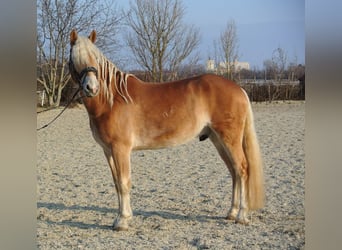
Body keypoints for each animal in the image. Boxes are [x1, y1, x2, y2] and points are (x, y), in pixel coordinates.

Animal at [67, 28, 264, 230]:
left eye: (95, 58)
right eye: (74, 57)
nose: (91, 88)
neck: (112, 100)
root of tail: (239, 89)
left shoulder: (120, 149)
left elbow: (123, 182)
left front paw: (122, 220)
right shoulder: (108, 151)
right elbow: (116, 183)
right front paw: (122, 218)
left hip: (229, 139)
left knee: (242, 169)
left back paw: (242, 215)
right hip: (218, 140)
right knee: (234, 171)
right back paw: (232, 212)